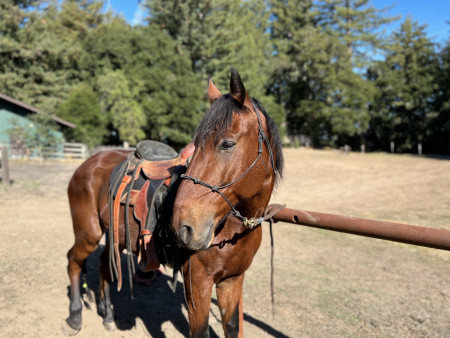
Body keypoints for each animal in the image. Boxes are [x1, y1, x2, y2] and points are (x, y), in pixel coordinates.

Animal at [64, 68, 282, 336]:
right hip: (88, 233)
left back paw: (107, 315)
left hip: (114, 235)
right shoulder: (197, 284)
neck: (235, 228)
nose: (184, 227)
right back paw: (74, 317)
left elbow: (231, 326)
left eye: (228, 143)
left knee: (105, 263)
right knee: (73, 262)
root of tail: (87, 164)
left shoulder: (232, 280)